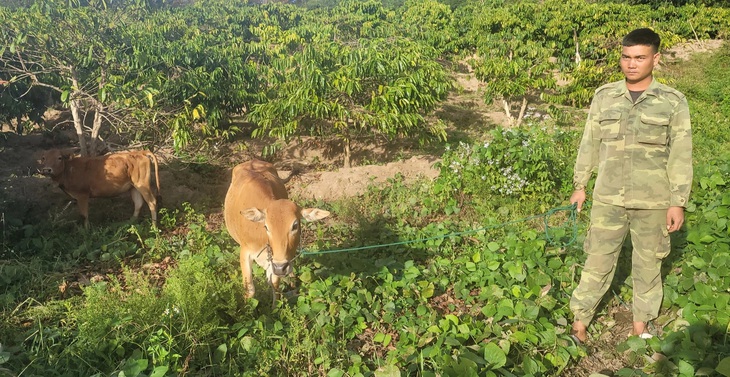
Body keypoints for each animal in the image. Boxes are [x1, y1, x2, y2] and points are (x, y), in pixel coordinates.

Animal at [222, 159, 330, 302]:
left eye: (295, 225)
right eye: (266, 227)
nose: (280, 267)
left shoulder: (275, 263)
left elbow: (275, 286)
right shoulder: (245, 252)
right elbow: (250, 290)